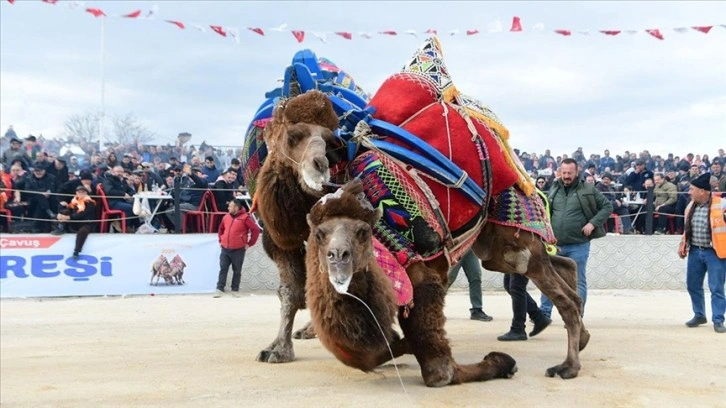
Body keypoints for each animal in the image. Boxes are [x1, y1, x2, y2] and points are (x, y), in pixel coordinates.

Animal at [253, 87, 588, 384]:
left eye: (329, 141)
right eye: (293, 136)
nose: (320, 166)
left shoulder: (419, 277)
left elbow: (437, 369)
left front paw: (499, 362)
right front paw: (276, 349)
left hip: (516, 240)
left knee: (561, 292)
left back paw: (569, 365)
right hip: (494, 249)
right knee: (564, 267)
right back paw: (582, 336)